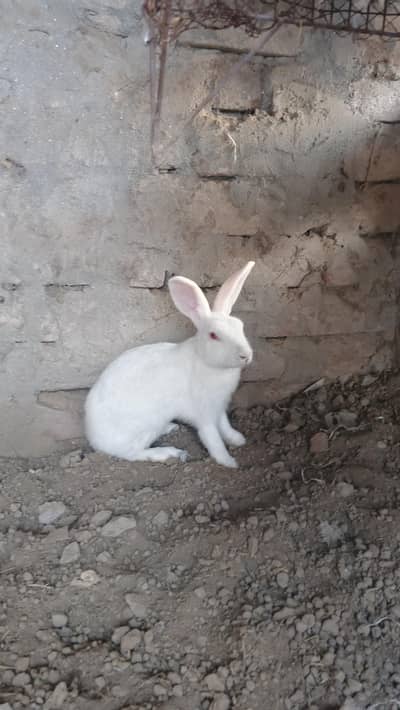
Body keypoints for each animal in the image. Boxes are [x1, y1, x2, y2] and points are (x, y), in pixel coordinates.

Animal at [85, 260, 255, 468]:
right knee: (131, 453)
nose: (246, 355)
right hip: (145, 426)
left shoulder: (219, 406)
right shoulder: (203, 413)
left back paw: (170, 427)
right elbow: (211, 437)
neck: (205, 361)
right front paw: (228, 461)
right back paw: (168, 452)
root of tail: (94, 438)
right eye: (214, 335)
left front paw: (237, 439)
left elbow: (224, 425)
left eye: (240, 326)